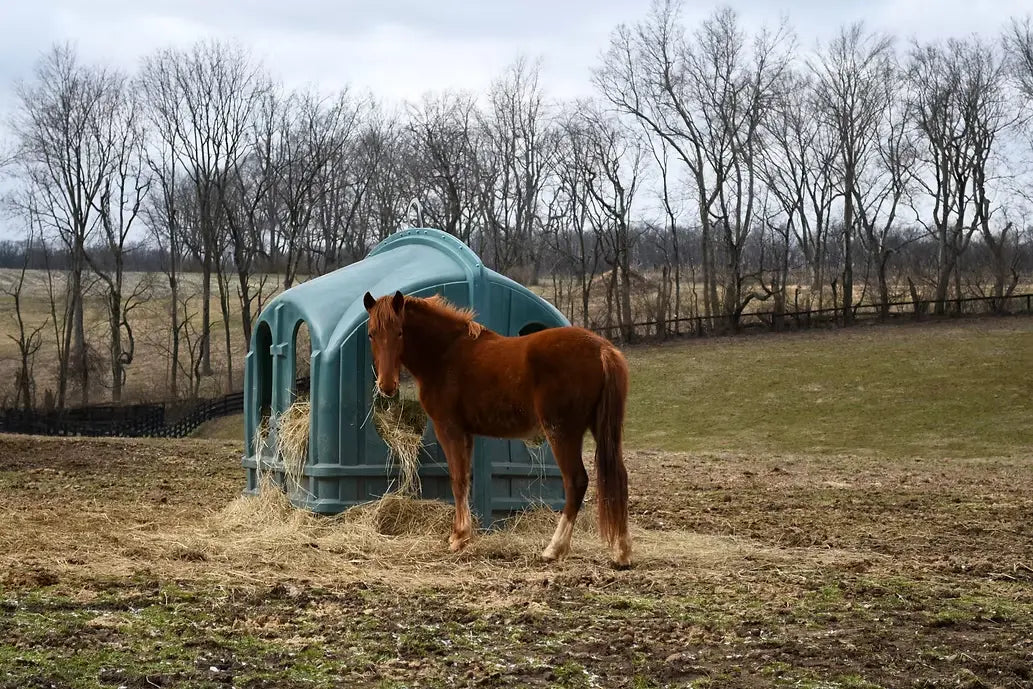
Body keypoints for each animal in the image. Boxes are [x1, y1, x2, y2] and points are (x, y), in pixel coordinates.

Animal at [363, 290, 632, 568]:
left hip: (562, 432)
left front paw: (458, 537)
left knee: (576, 481)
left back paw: (554, 548)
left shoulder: (449, 429)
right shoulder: (466, 433)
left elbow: (457, 479)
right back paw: (622, 552)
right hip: (603, 431)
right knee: (618, 478)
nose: (387, 386)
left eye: (399, 333)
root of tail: (602, 349)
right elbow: (465, 478)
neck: (446, 353)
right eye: (371, 334)